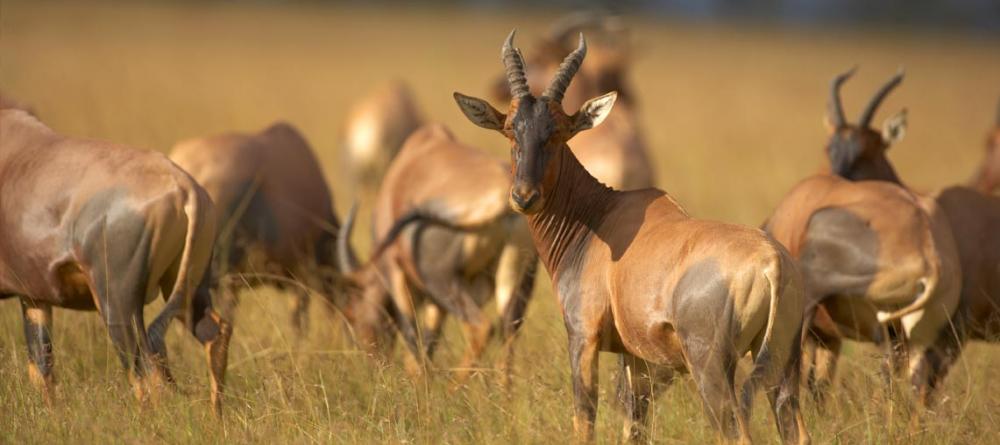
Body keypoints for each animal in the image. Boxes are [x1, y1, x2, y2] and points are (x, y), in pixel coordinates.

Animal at [0, 110, 232, 412]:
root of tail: (185, 189)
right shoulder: (34, 298)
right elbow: (41, 366)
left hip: (117, 304)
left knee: (145, 365)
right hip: (185, 289)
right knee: (213, 334)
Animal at [338, 123, 540, 384]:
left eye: (351, 314)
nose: (373, 366)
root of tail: (501, 191)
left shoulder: (395, 272)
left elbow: (412, 335)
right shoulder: (437, 303)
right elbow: (429, 340)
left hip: (441, 280)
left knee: (481, 327)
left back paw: (455, 387)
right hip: (517, 276)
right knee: (509, 330)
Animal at [458, 30, 808, 440]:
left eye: (558, 132)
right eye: (511, 128)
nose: (523, 197)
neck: (600, 217)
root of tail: (772, 264)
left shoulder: (583, 336)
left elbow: (584, 419)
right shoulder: (635, 356)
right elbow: (633, 425)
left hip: (711, 366)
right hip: (782, 363)